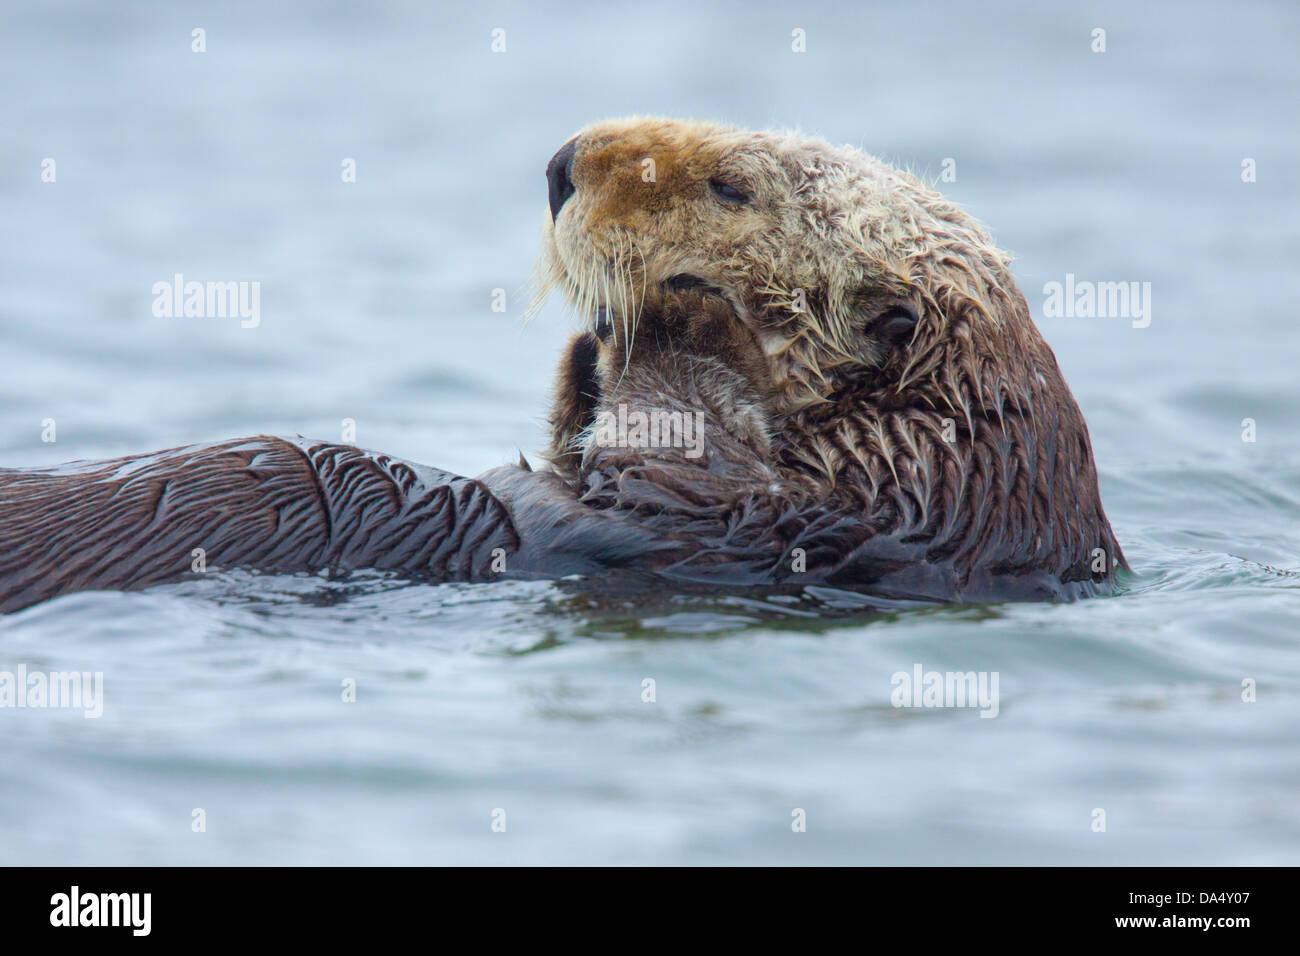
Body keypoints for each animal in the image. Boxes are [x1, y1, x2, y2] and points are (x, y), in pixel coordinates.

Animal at [0, 119, 1123, 613]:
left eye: (729, 186)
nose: (559, 165)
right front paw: (590, 351)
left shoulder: (827, 517)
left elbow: (675, 459)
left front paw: (684, 322)